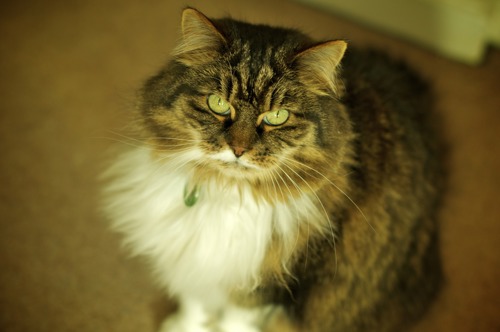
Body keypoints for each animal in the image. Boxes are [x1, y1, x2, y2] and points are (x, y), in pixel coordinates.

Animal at [100, 7, 442, 332]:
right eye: (218, 104)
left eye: (277, 116)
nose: (238, 149)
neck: (226, 193)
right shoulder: (193, 259)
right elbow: (193, 304)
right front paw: (182, 326)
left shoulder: (266, 286)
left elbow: (234, 321)